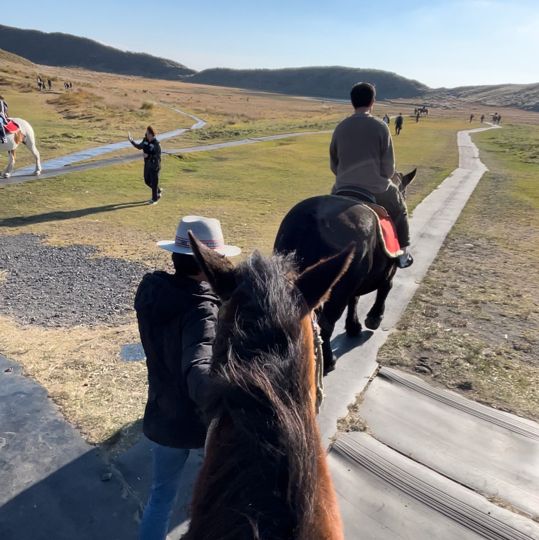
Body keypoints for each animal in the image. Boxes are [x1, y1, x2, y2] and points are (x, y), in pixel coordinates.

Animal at [274, 171, 418, 374]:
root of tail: (314, 218)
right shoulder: (387, 273)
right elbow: (384, 289)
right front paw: (374, 318)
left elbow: (355, 299)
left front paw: (353, 326)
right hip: (338, 288)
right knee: (326, 324)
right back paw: (328, 361)